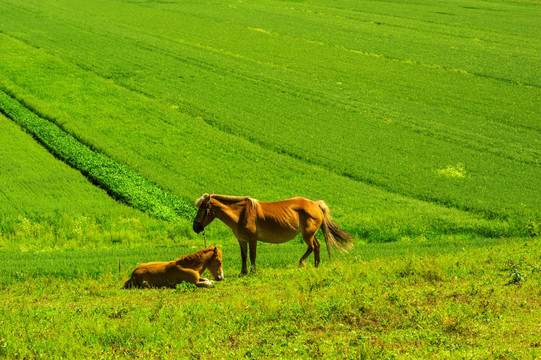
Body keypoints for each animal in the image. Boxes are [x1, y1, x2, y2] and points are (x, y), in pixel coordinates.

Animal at [192, 195, 352, 274]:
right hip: (310, 234)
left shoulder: (252, 239)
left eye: (201, 209)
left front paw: (253, 271)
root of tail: (315, 204)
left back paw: (303, 263)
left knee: (312, 247)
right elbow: (244, 256)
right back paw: (316, 265)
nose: (195, 227)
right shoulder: (241, 240)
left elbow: (252, 256)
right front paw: (243, 272)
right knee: (317, 246)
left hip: (307, 234)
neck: (241, 213)